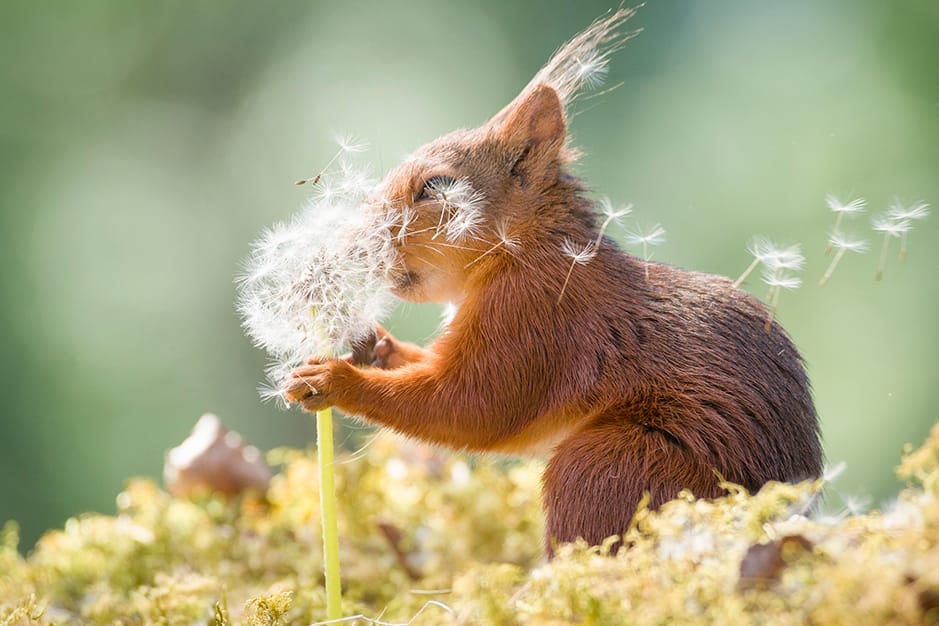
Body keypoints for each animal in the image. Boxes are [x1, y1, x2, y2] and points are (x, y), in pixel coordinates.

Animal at [284, 11, 824, 552]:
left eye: (436, 187)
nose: (353, 242)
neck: (524, 251)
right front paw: (375, 346)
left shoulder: (537, 316)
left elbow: (473, 406)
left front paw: (335, 380)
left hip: (611, 464)